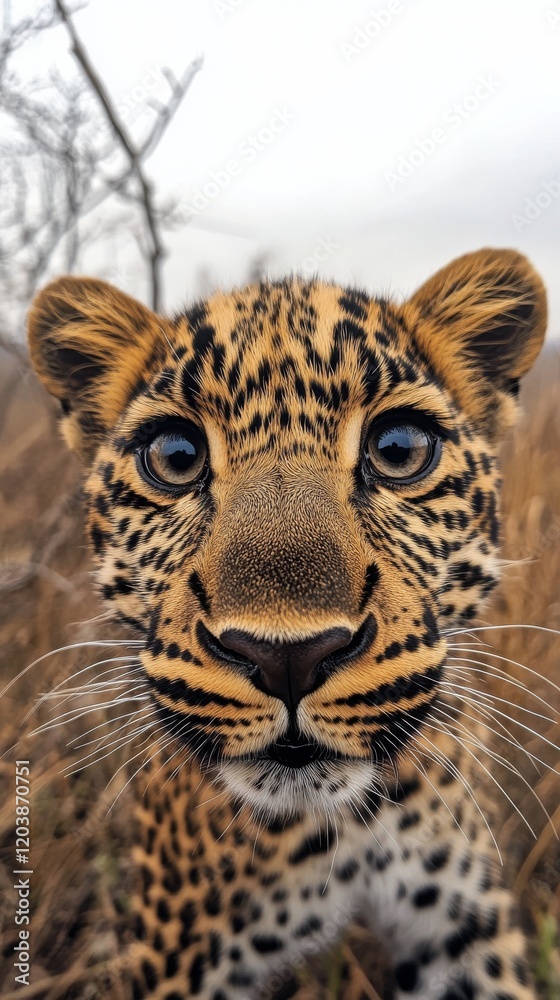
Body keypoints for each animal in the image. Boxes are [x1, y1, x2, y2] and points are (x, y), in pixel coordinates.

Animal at [27, 247, 548, 1000]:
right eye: (175, 456)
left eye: (399, 448)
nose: (288, 658)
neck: (348, 827)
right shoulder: (180, 957)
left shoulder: (464, 930)